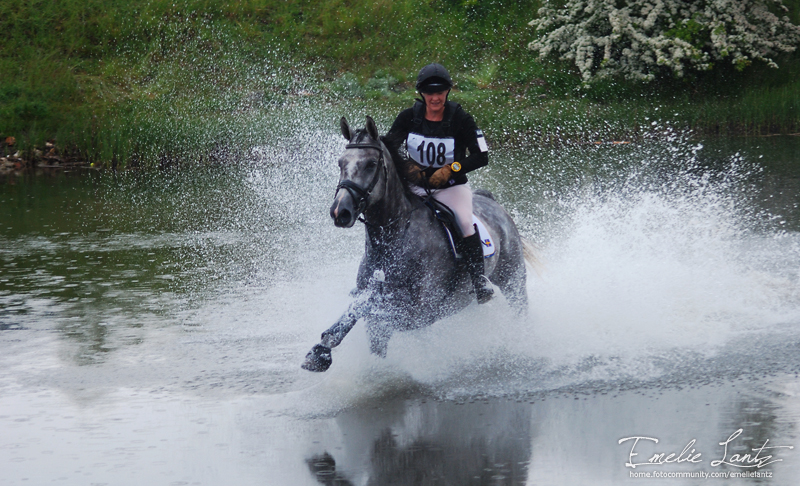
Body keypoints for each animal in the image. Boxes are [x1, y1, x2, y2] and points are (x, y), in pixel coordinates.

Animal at [300, 115, 532, 372]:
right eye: (341, 163)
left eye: (371, 164)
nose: (340, 212)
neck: (390, 243)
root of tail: (493, 202)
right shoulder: (378, 324)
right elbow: (360, 308)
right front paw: (320, 351)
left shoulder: (414, 313)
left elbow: (367, 305)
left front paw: (321, 351)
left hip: (513, 280)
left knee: (520, 310)